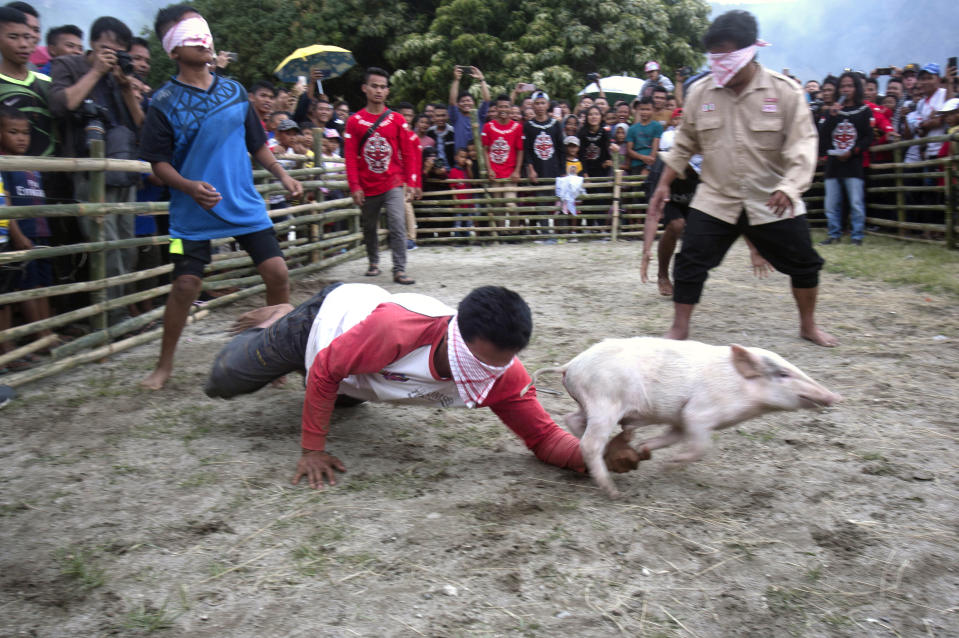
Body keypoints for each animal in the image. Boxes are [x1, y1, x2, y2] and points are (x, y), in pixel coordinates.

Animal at [524, 340, 840, 500]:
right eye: (783, 374)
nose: (835, 397)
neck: (741, 392)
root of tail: (570, 365)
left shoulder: (680, 419)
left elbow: (671, 437)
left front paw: (646, 453)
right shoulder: (699, 413)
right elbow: (701, 446)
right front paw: (672, 464)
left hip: (591, 403)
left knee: (573, 419)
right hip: (605, 402)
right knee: (589, 442)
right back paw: (613, 491)